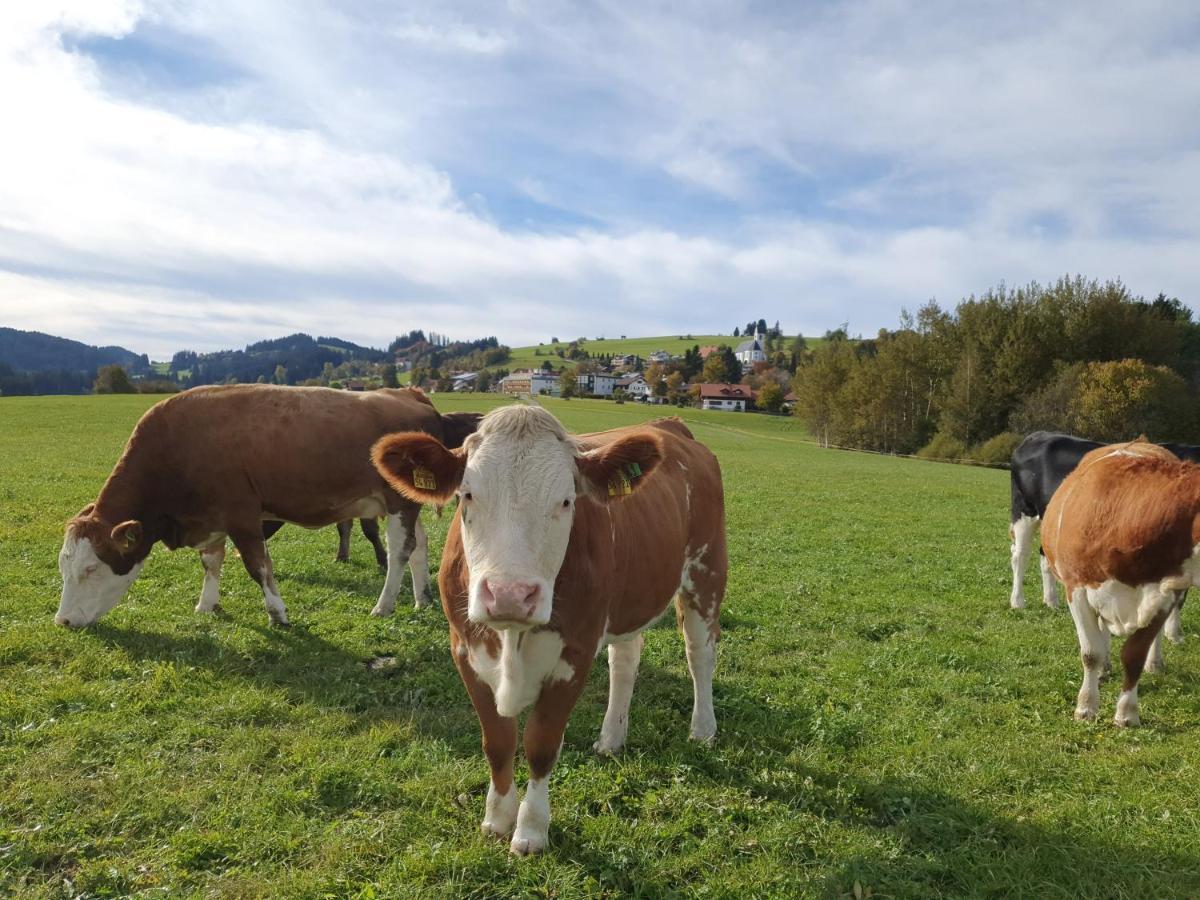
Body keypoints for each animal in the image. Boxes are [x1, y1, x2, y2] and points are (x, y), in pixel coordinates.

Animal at [55, 384, 477, 628]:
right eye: (64, 567)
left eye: (91, 569)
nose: (62, 621)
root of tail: (412, 395)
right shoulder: (209, 517)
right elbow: (211, 562)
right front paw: (206, 604)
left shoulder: (242, 515)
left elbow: (257, 566)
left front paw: (277, 611)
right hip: (404, 503)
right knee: (419, 547)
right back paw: (421, 598)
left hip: (398, 502)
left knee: (400, 551)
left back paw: (385, 604)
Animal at [369, 405, 724, 854]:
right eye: (467, 495)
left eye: (566, 501)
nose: (509, 594)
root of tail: (669, 425)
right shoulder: (464, 649)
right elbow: (498, 742)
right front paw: (497, 818)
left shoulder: (575, 653)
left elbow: (540, 744)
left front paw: (531, 830)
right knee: (626, 659)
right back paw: (611, 738)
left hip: (706, 571)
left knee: (700, 654)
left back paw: (703, 729)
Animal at [1041, 441, 1200, 729]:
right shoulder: (1077, 589)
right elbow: (1090, 653)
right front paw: (1086, 707)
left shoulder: (1162, 594)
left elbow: (1134, 655)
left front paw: (1127, 713)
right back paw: (1103, 670)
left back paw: (1154, 663)